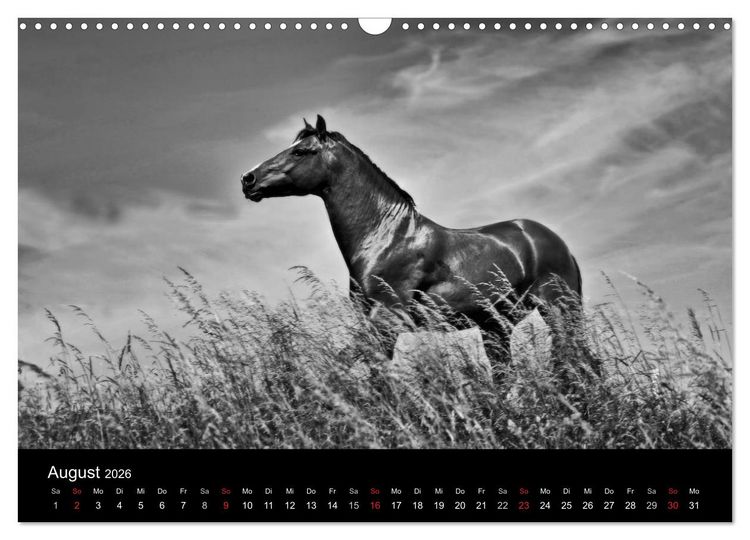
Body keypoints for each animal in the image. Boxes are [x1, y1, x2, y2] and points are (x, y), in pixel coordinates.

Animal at [241, 115, 599, 383]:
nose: (248, 179)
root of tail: (555, 242)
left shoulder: (387, 319)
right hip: (497, 326)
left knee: (578, 363)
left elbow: (342, 366)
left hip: (559, 310)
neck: (386, 237)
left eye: (301, 151)